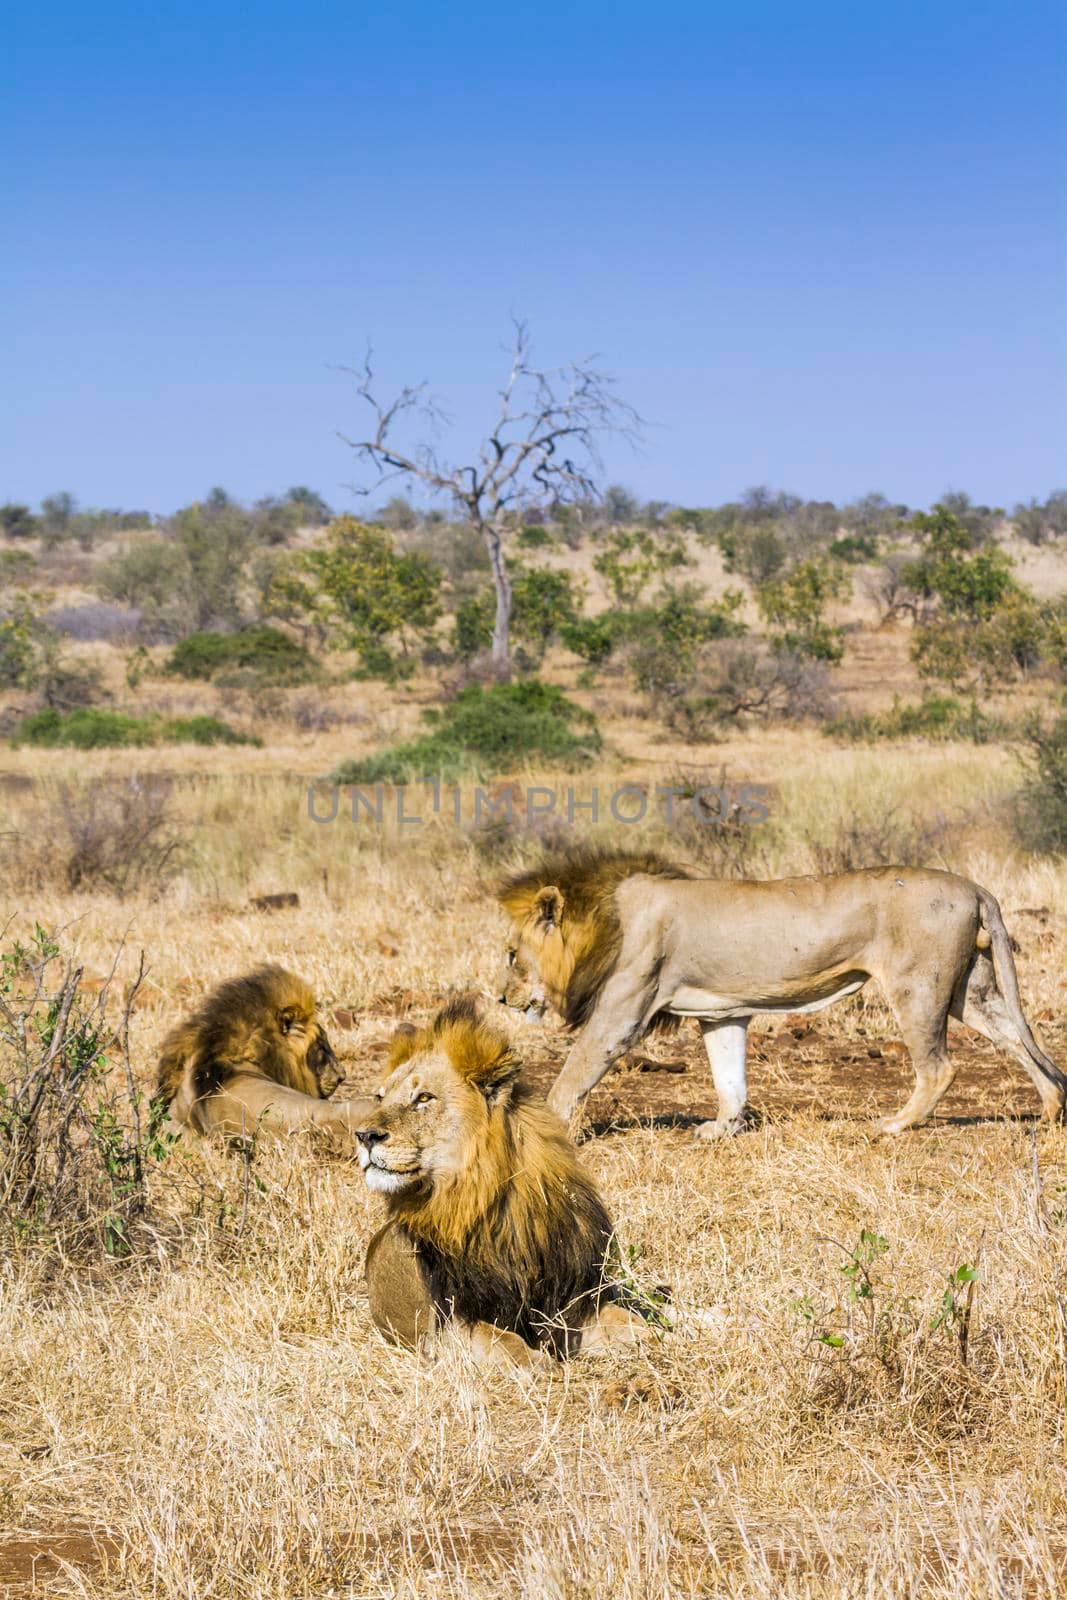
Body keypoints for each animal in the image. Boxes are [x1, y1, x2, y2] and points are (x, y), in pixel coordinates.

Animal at [356, 998, 652, 1363]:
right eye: (380, 1097)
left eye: (424, 1097)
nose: (363, 1135)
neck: (483, 1197)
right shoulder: (446, 1330)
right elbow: (502, 1341)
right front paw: (536, 1361)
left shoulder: (567, 1302)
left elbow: (630, 1322)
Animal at [495, 851, 1062, 1139]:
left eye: (511, 954)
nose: (500, 999)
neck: (602, 921)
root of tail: (974, 886)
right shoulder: (719, 1014)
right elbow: (730, 1080)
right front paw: (721, 1129)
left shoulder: (623, 1010)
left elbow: (574, 1071)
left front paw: (546, 1127)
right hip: (971, 990)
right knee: (1019, 1041)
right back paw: (1051, 1112)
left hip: (917, 985)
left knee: (940, 1067)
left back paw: (894, 1124)